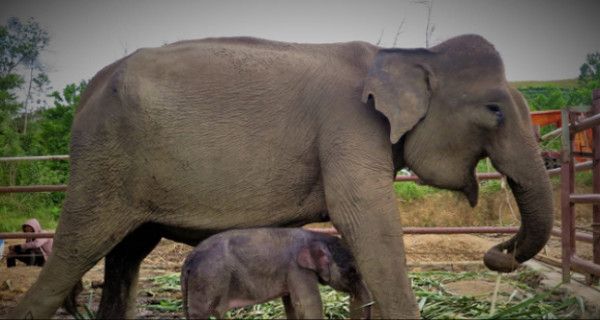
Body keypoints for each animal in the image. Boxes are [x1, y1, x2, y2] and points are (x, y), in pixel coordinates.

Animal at [180, 226, 372, 318]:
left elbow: (292, 305)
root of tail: (188, 261)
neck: (314, 236)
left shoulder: (290, 273)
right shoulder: (297, 269)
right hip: (207, 281)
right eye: (353, 271)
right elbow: (308, 305)